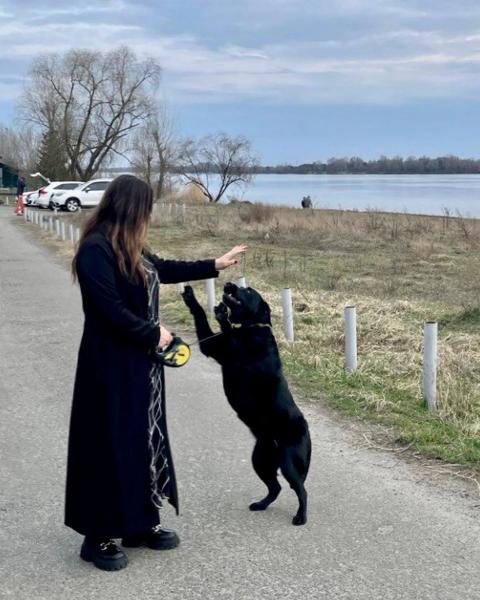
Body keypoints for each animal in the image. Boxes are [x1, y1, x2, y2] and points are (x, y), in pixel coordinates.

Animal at [183, 284, 312, 524]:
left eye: (249, 290)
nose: (229, 285)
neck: (250, 329)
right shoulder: (212, 345)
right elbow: (200, 314)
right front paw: (191, 297)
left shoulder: (227, 348)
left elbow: (221, 325)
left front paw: (222, 315)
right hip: (260, 459)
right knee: (276, 488)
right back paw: (261, 504)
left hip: (288, 463)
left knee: (301, 490)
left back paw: (300, 517)